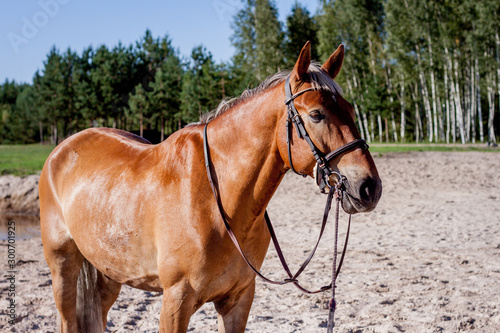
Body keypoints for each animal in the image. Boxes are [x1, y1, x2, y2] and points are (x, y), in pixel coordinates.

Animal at [40, 42, 382, 330]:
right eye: (316, 114)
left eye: (351, 110)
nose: (369, 187)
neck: (219, 203)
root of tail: (61, 150)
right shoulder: (176, 301)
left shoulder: (238, 300)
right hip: (63, 266)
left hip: (108, 271)